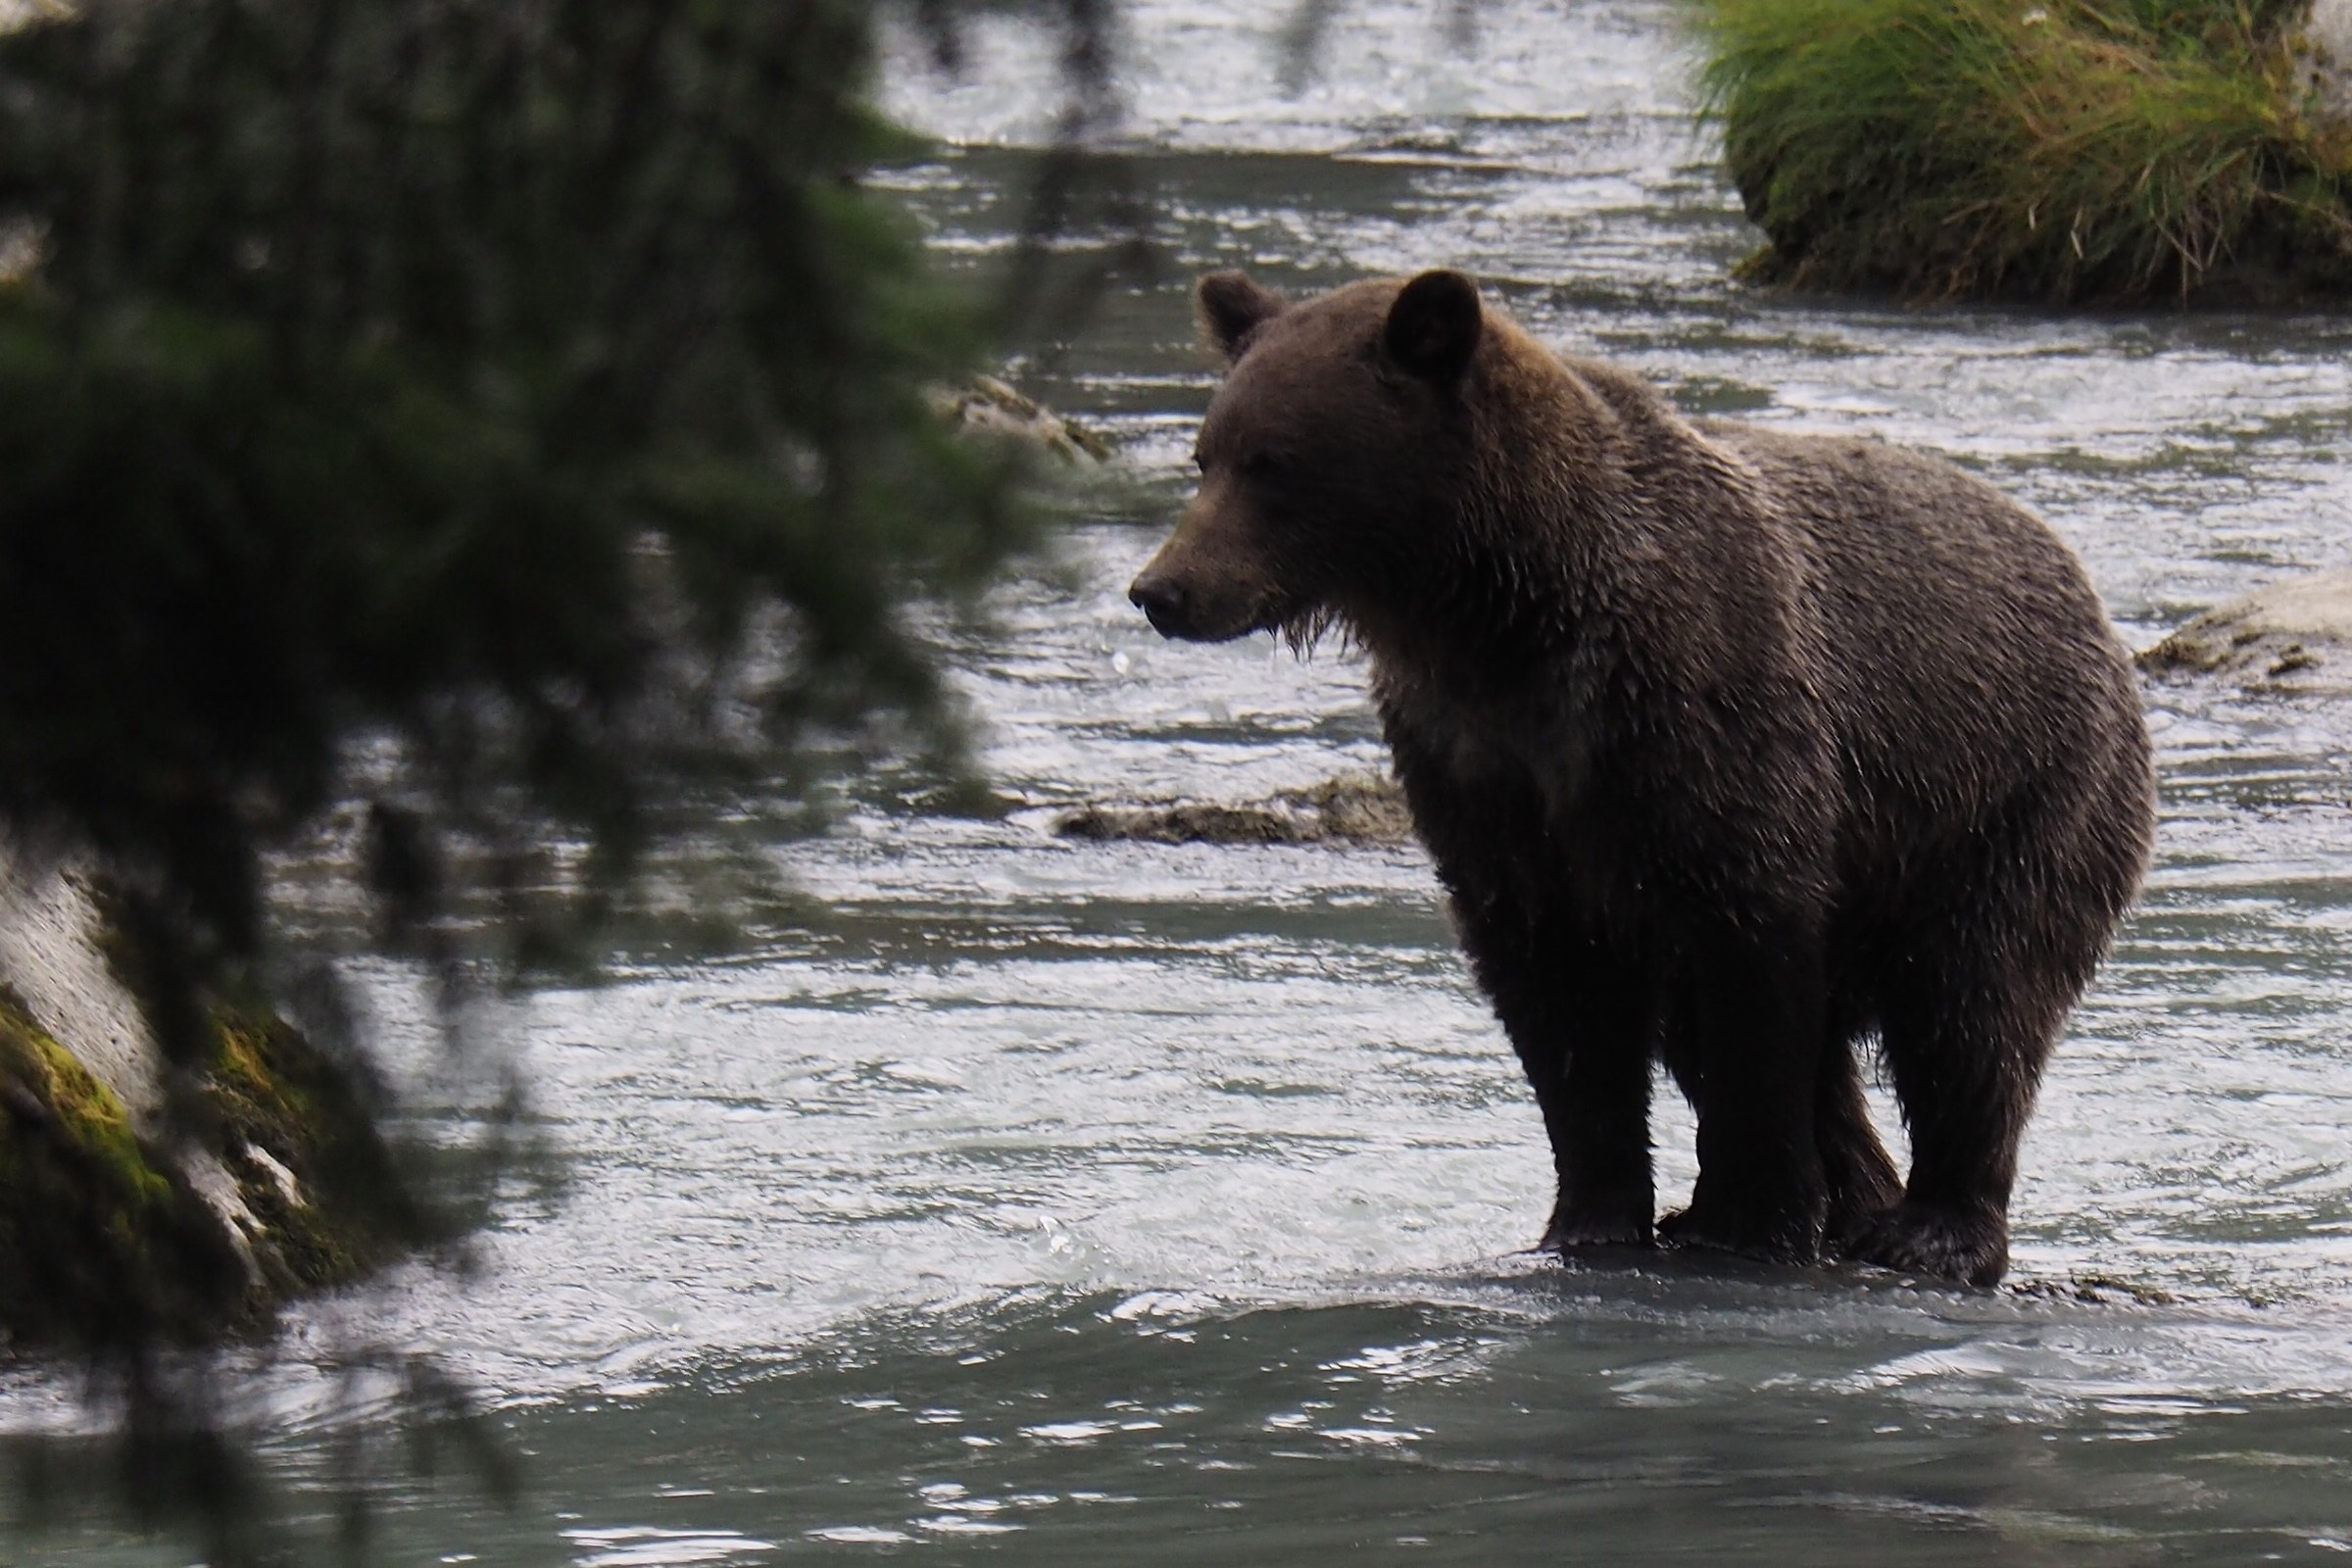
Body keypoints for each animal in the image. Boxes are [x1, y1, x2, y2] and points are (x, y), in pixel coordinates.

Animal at [1128, 269, 2155, 1287]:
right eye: (1205, 454)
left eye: (1275, 461)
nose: (1161, 589)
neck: (1503, 618)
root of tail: (2075, 574)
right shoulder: (1482, 772)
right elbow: (1557, 1000)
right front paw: (1592, 1218)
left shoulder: (1703, 730)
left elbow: (1750, 968)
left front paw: (1744, 1217)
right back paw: (1860, 1201)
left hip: (2010, 791)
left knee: (1973, 1002)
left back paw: (1933, 1226)